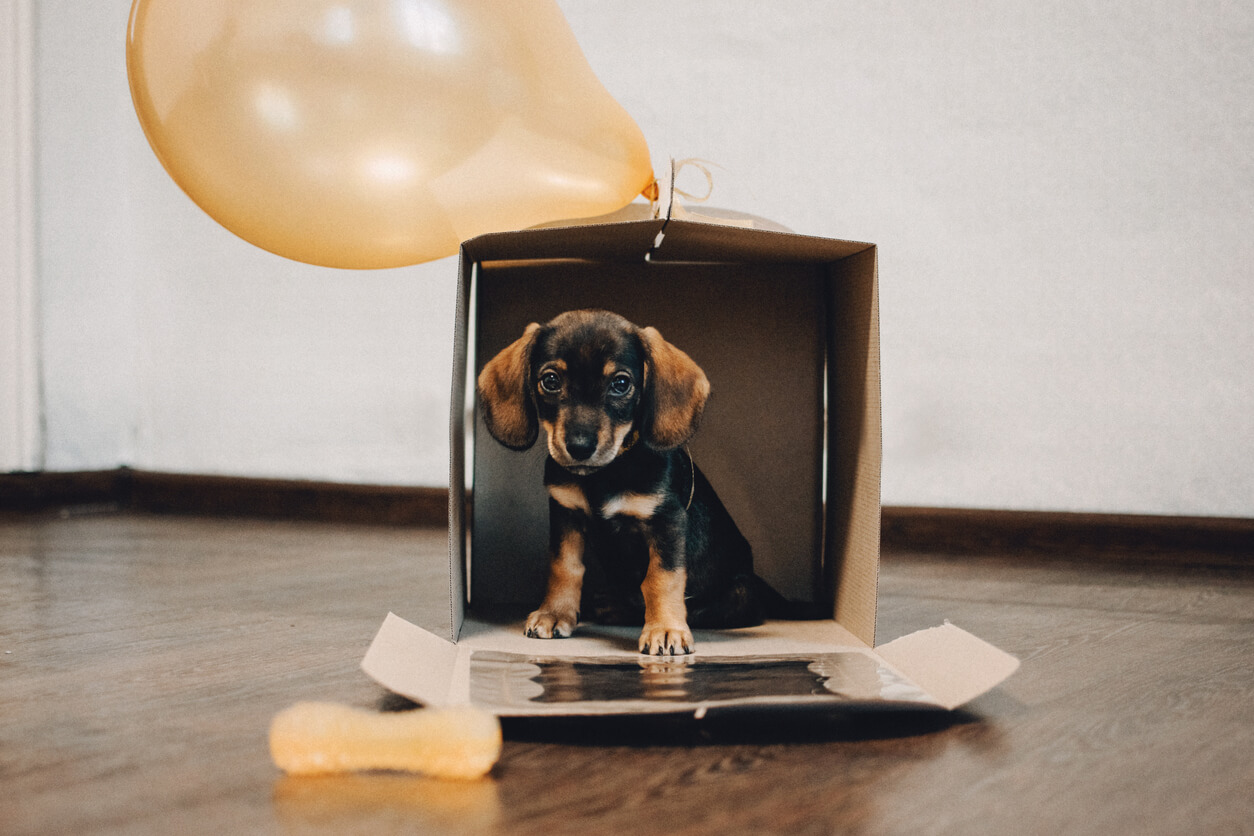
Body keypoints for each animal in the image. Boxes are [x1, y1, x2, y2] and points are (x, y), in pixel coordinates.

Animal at [476, 310, 772, 656]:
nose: (579, 447)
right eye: (550, 381)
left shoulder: (667, 519)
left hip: (740, 593)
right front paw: (555, 613)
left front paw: (666, 629)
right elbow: (564, 567)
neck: (604, 474)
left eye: (620, 383)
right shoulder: (565, 512)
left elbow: (661, 578)